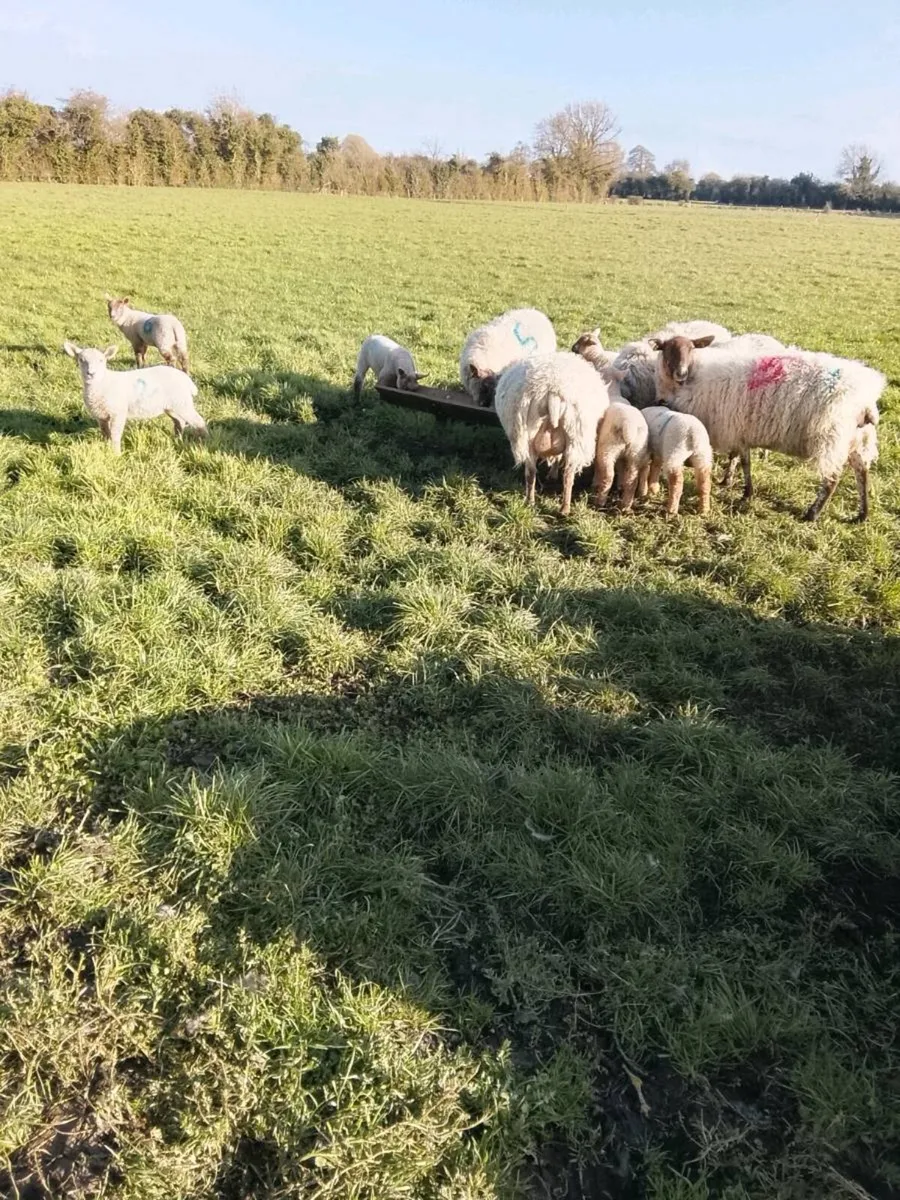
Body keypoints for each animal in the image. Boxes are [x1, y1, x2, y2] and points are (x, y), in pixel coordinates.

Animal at [63, 342, 207, 453]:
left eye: (101, 360)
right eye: (81, 360)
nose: (91, 373)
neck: (103, 382)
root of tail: (186, 379)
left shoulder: (118, 413)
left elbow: (115, 435)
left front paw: (116, 455)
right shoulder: (101, 416)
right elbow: (105, 434)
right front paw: (106, 449)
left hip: (182, 403)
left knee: (199, 421)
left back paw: (205, 441)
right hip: (172, 405)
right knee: (179, 421)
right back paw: (177, 439)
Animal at [493, 351, 610, 515]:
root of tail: (552, 392)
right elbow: (557, 458)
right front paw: (553, 474)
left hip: (528, 436)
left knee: (531, 472)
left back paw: (531, 502)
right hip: (575, 435)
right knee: (568, 475)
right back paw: (564, 508)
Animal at [663, 349, 884, 521]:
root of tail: (866, 403)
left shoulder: (736, 429)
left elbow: (744, 462)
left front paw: (745, 492)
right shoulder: (739, 432)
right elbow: (737, 458)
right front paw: (729, 481)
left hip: (832, 439)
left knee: (832, 480)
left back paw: (812, 514)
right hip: (856, 442)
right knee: (862, 473)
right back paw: (862, 515)